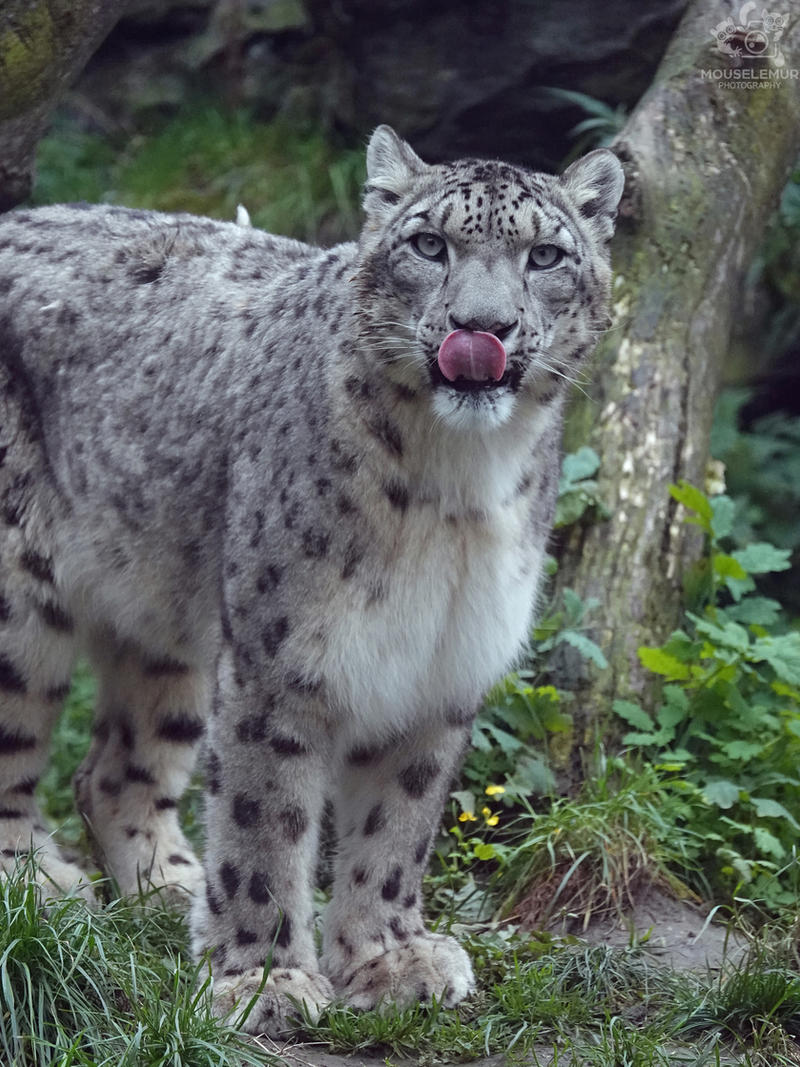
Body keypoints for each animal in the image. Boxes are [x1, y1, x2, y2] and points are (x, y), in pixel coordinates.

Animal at [0, 124, 627, 1032]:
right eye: (429, 245)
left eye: (545, 255)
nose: (482, 326)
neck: (460, 484)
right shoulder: (283, 657)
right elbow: (265, 822)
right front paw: (263, 979)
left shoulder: (443, 666)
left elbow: (398, 826)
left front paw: (388, 958)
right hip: (19, 605)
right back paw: (39, 887)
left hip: (169, 616)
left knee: (117, 769)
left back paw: (169, 892)